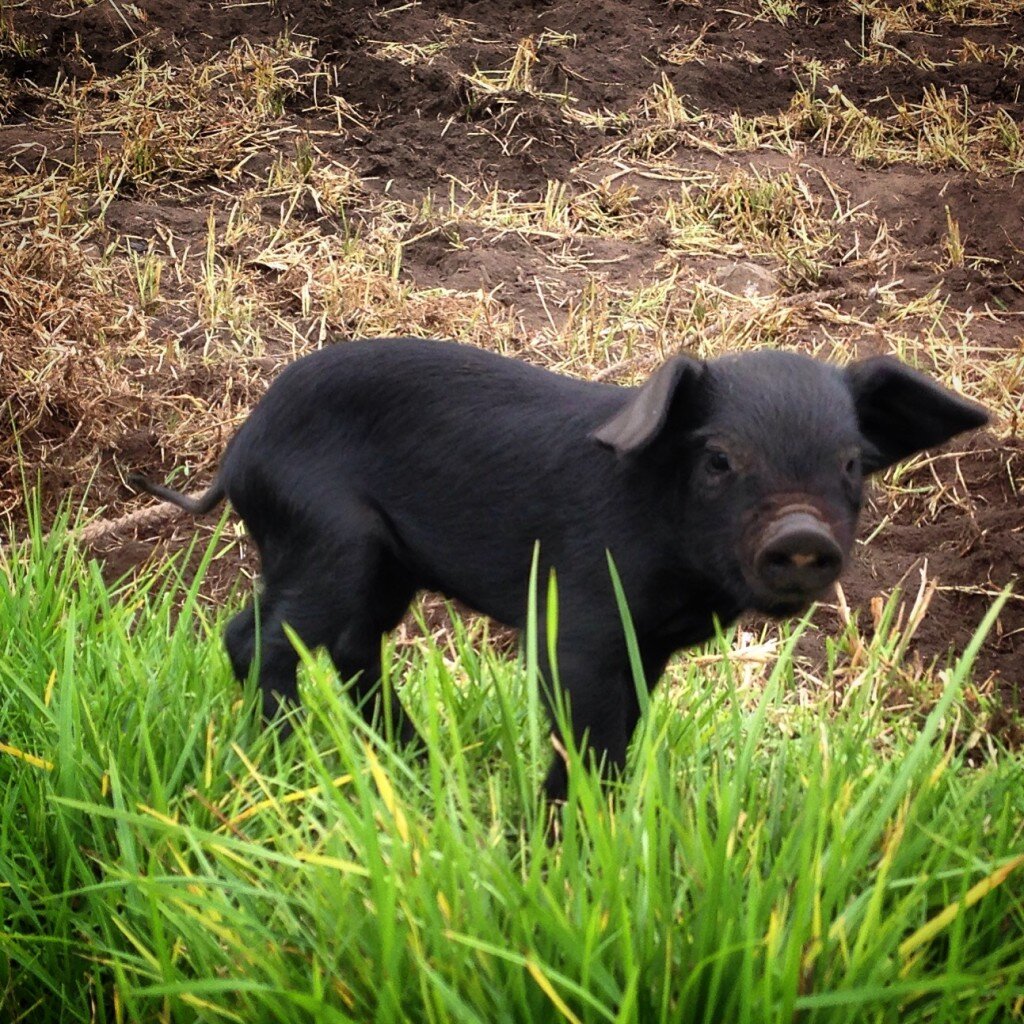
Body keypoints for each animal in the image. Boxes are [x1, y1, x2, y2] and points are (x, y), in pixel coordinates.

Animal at [130, 337, 988, 800]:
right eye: (719, 459)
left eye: (852, 463)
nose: (802, 533)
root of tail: (240, 449)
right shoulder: (579, 617)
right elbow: (585, 731)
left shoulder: (651, 645)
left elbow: (630, 727)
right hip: (329, 540)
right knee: (264, 642)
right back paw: (286, 766)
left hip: (372, 564)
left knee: (331, 644)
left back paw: (415, 765)